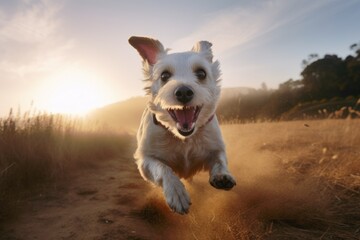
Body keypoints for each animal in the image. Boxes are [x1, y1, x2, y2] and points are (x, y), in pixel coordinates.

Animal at [129, 35, 236, 214]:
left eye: (201, 73)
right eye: (164, 75)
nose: (184, 92)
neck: (184, 138)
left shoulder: (216, 147)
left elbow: (220, 160)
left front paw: (222, 176)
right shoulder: (145, 160)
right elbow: (163, 168)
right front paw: (176, 191)